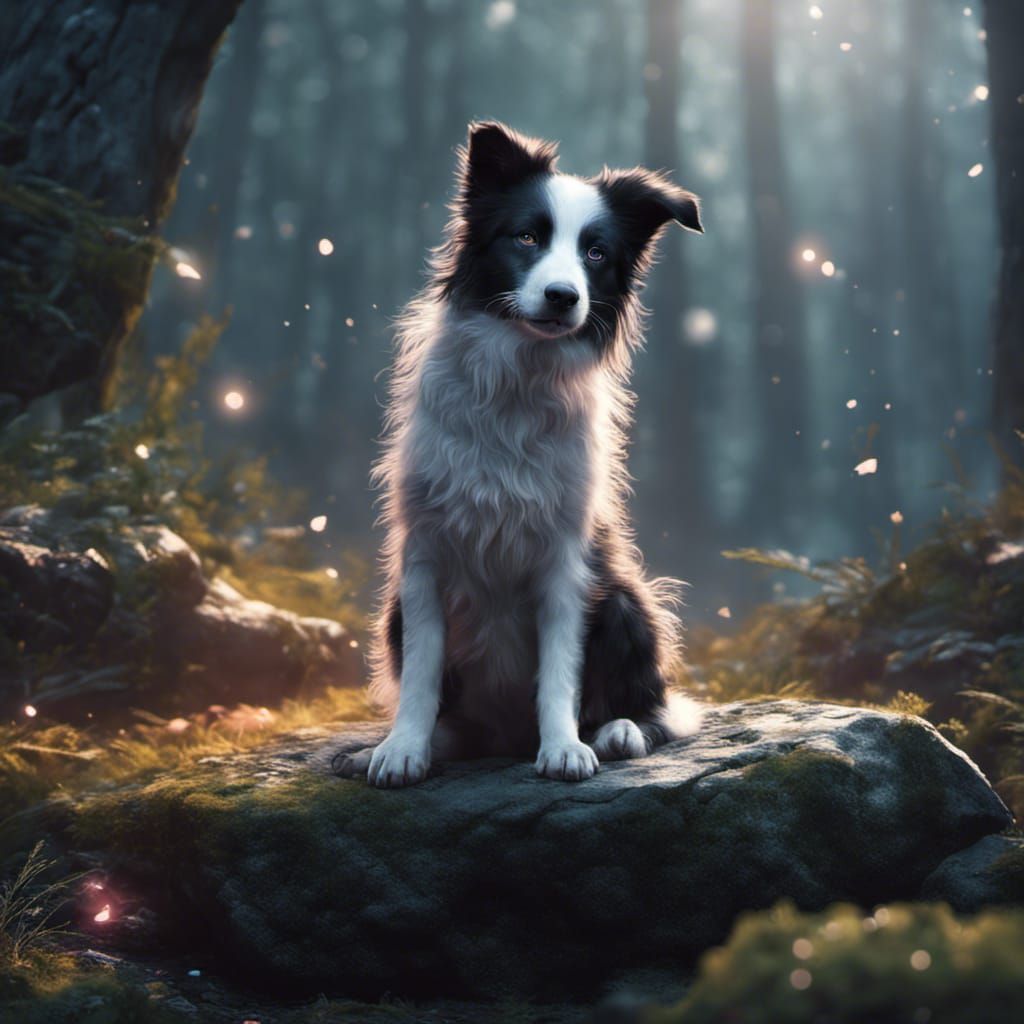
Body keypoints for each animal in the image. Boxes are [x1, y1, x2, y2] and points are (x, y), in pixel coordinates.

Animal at [335, 123, 704, 786]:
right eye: (527, 237)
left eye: (596, 254)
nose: (562, 296)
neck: (519, 381)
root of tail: (505, 735)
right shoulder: (423, 557)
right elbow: (422, 676)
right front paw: (401, 749)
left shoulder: (565, 562)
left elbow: (559, 675)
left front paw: (563, 747)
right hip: (395, 611)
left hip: (626, 600)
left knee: (655, 708)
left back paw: (619, 731)